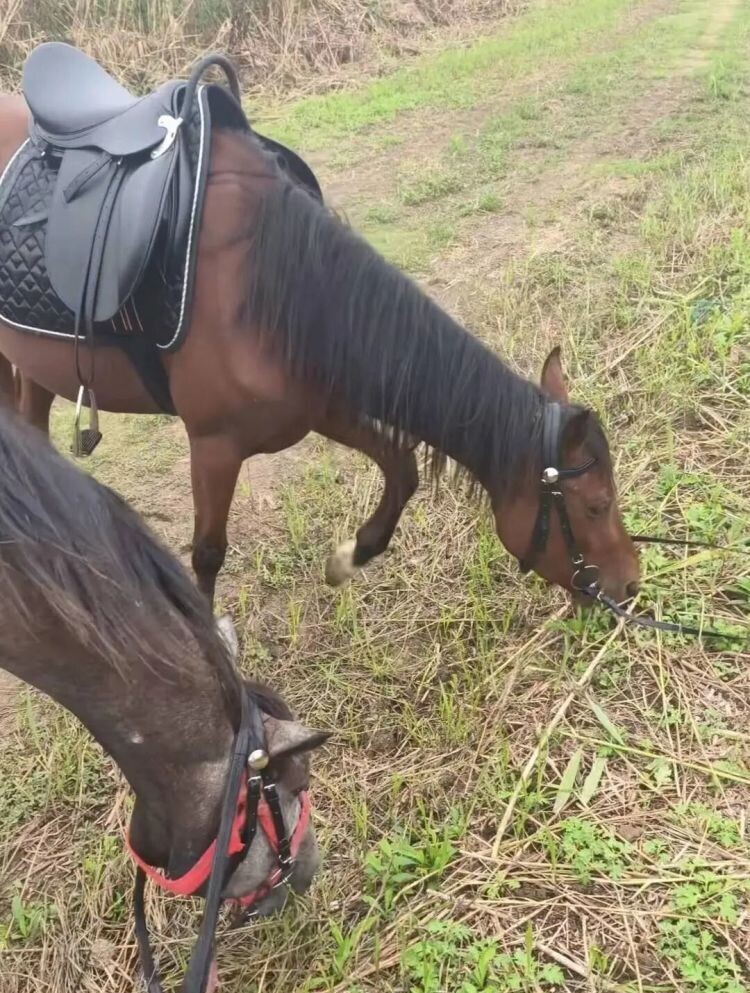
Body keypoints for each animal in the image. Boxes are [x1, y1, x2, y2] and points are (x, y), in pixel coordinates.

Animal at [0, 86, 640, 609]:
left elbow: (402, 468)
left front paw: (346, 559)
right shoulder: (213, 446)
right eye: (594, 506)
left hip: (34, 362)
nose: (631, 584)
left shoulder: (320, 405)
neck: (267, 286)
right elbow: (207, 552)